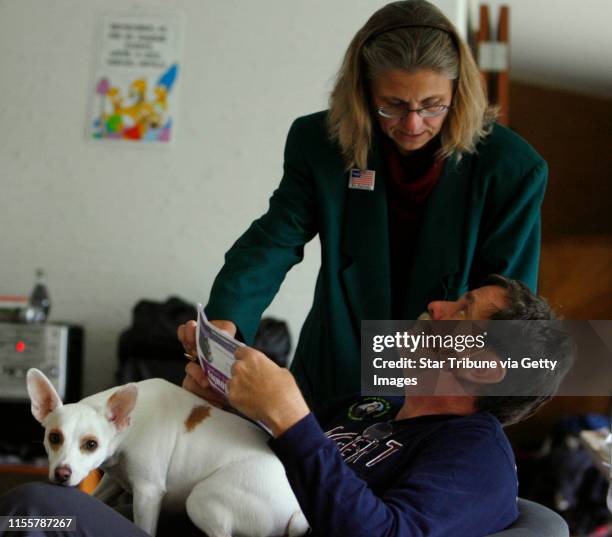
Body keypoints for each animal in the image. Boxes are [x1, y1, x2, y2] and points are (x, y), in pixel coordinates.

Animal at [26, 368, 308, 536]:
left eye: (91, 444)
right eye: (54, 438)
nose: (62, 474)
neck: (130, 424)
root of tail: (296, 512)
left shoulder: (148, 494)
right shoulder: (114, 479)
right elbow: (99, 493)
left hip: (201, 500)